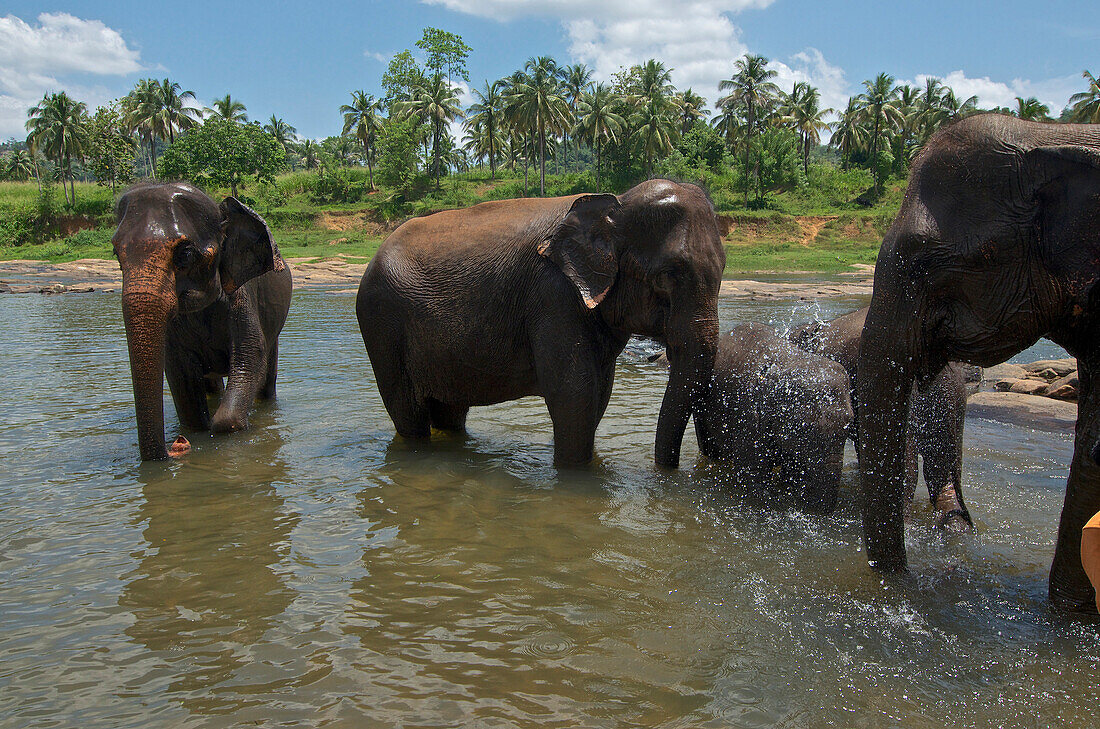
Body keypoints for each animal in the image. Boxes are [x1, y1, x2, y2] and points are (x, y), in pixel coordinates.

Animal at [112, 179, 292, 459]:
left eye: (185, 255)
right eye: (116, 255)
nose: (178, 445)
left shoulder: (243, 297)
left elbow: (251, 354)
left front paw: (227, 430)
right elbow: (179, 372)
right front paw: (195, 432)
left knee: (267, 374)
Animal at [356, 181, 726, 468]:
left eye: (723, 268)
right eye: (667, 276)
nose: (666, 471)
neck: (615, 202)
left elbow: (599, 393)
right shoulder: (553, 296)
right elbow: (574, 393)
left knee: (450, 411)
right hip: (381, 323)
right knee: (407, 411)